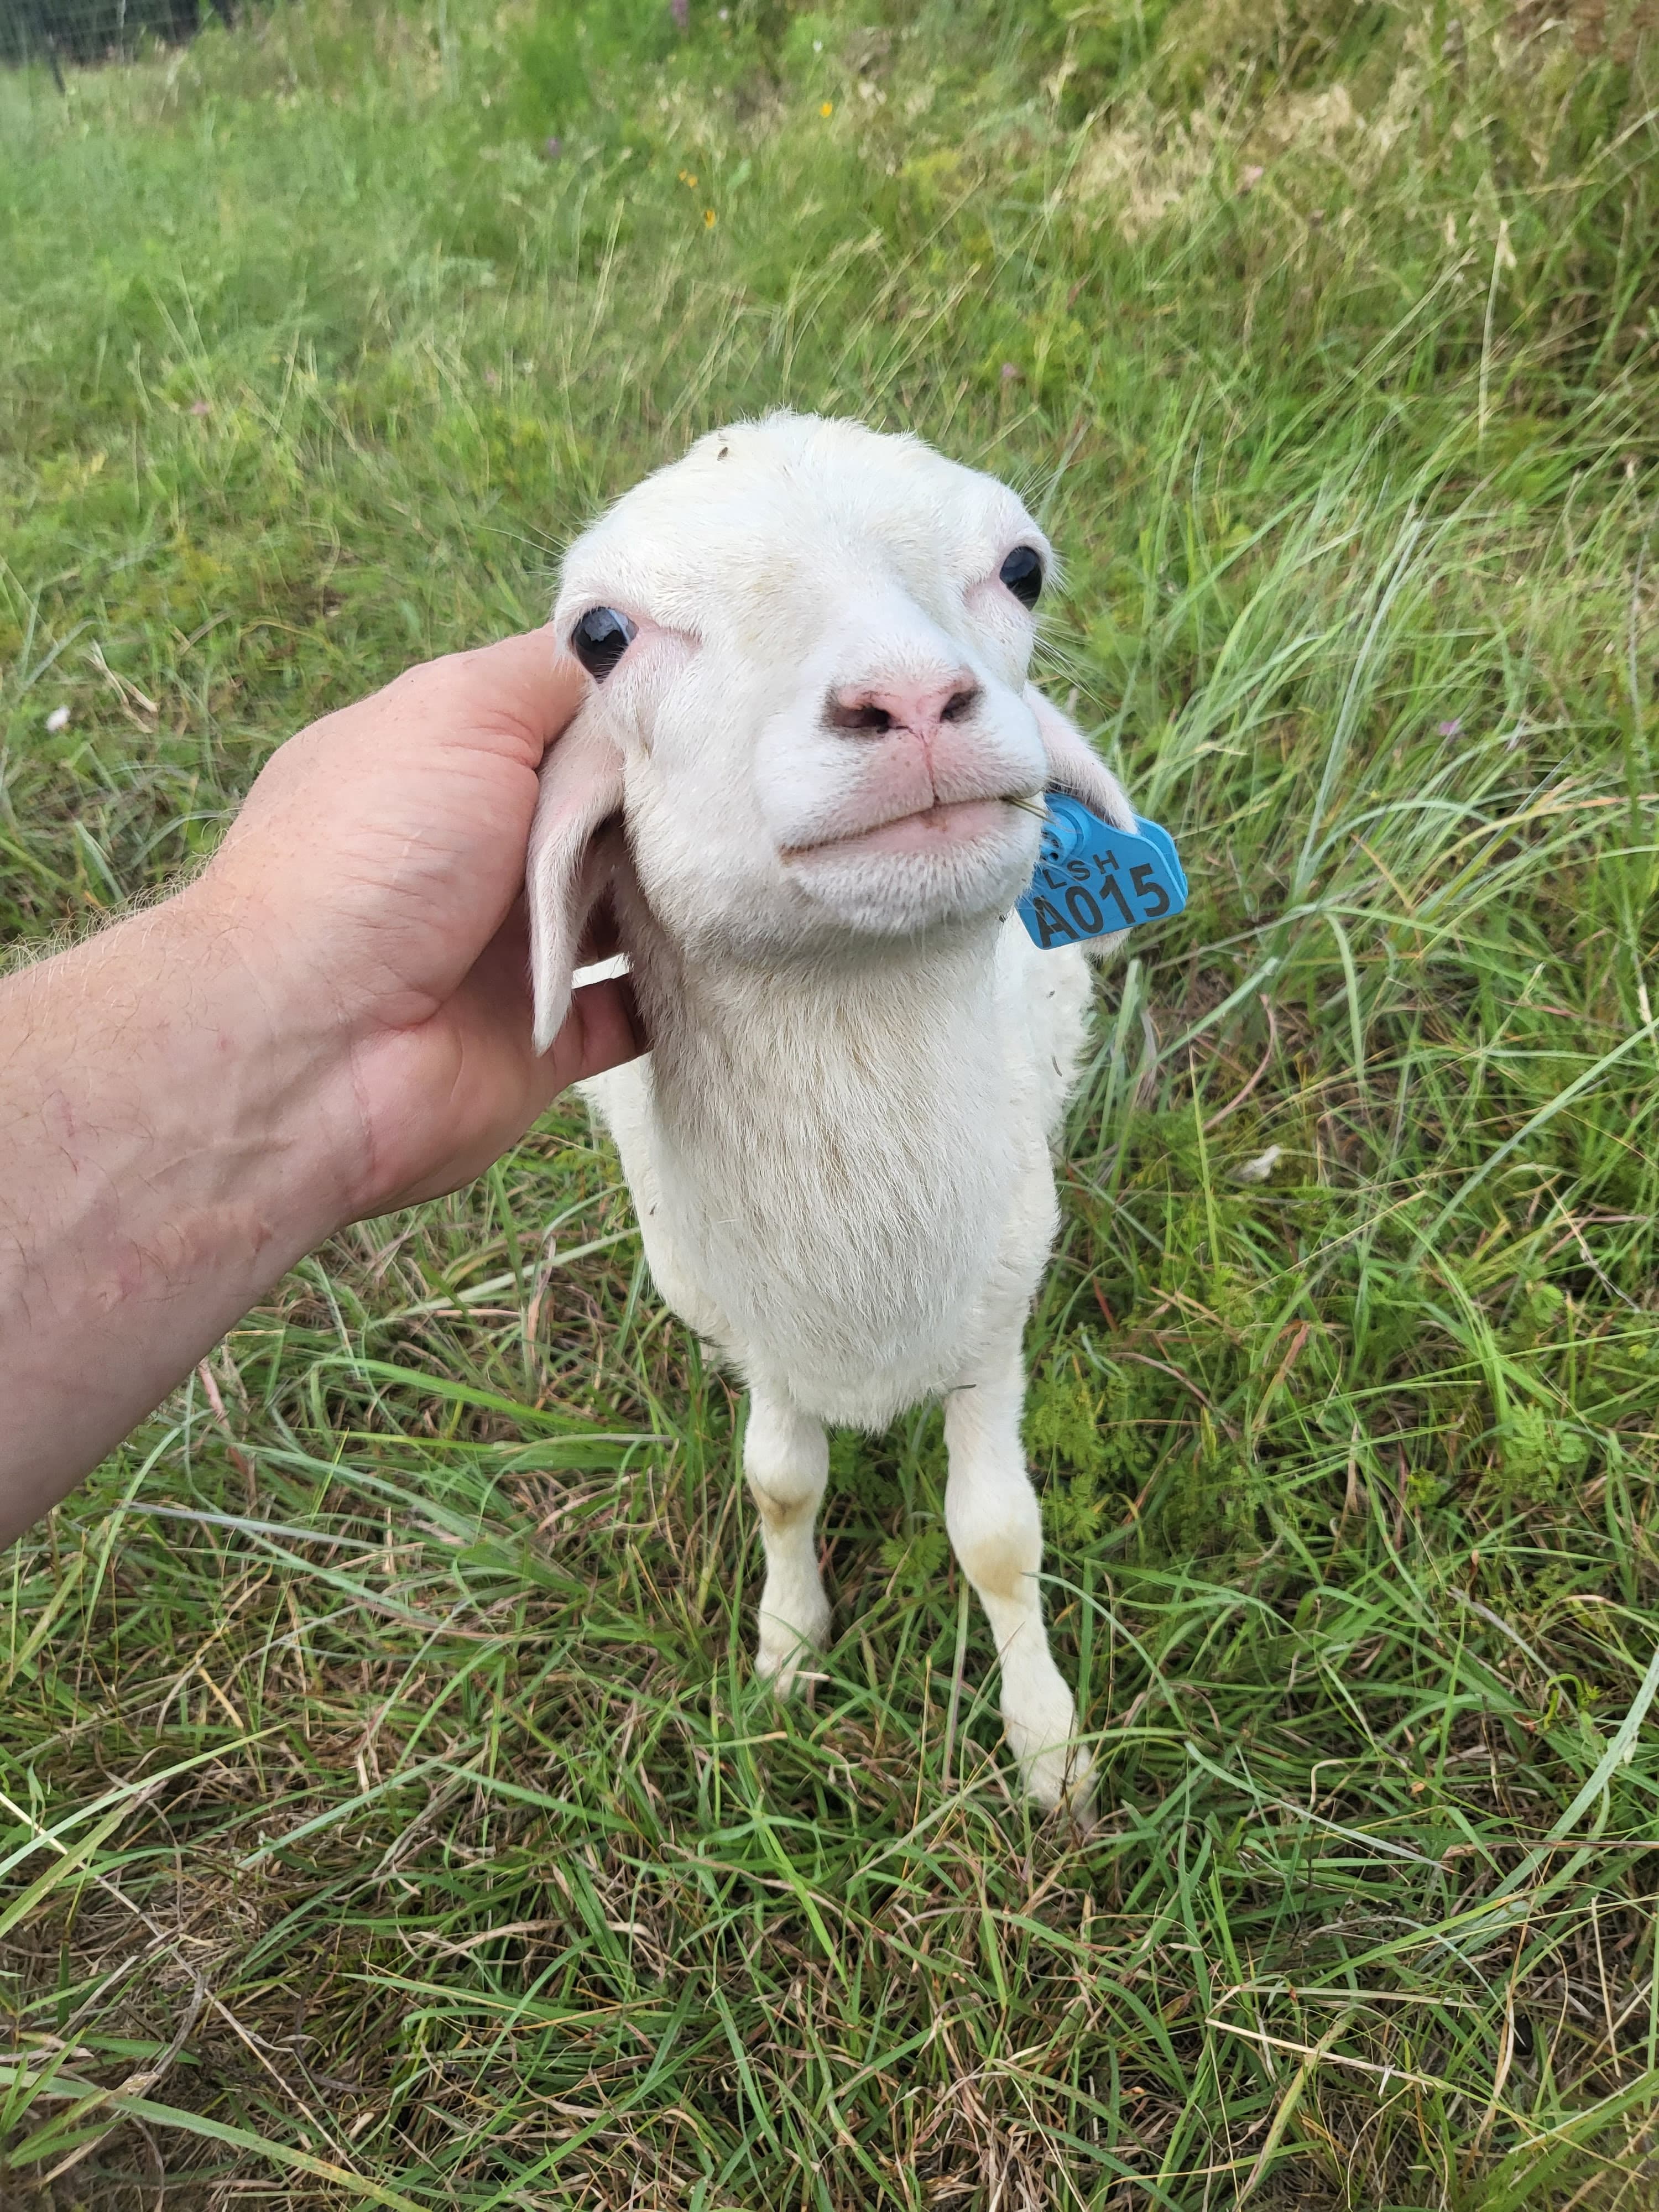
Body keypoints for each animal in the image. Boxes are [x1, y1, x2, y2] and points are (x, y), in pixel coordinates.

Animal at [527, 412, 1137, 1815]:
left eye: (1022, 568)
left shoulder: (995, 1313)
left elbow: (997, 1538)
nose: (908, 699)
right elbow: (779, 1485)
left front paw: (1048, 1745)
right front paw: (787, 1650)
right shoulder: (758, 1326)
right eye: (601, 634)